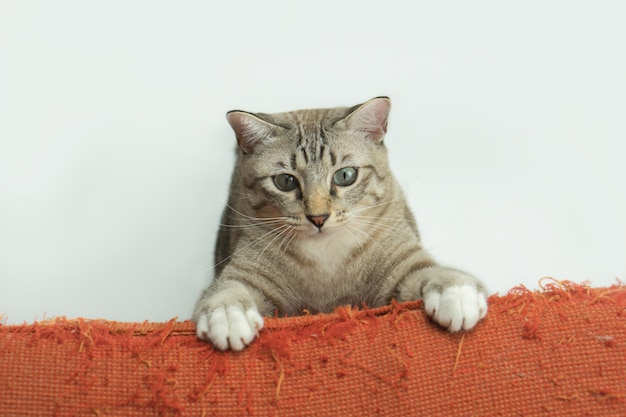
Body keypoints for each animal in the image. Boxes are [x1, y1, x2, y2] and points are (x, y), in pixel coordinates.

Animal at [193, 96, 486, 348]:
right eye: (285, 181)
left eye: (345, 176)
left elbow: (432, 272)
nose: (318, 217)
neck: (326, 259)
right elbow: (227, 291)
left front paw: (457, 292)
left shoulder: (403, 268)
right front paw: (228, 316)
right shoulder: (245, 276)